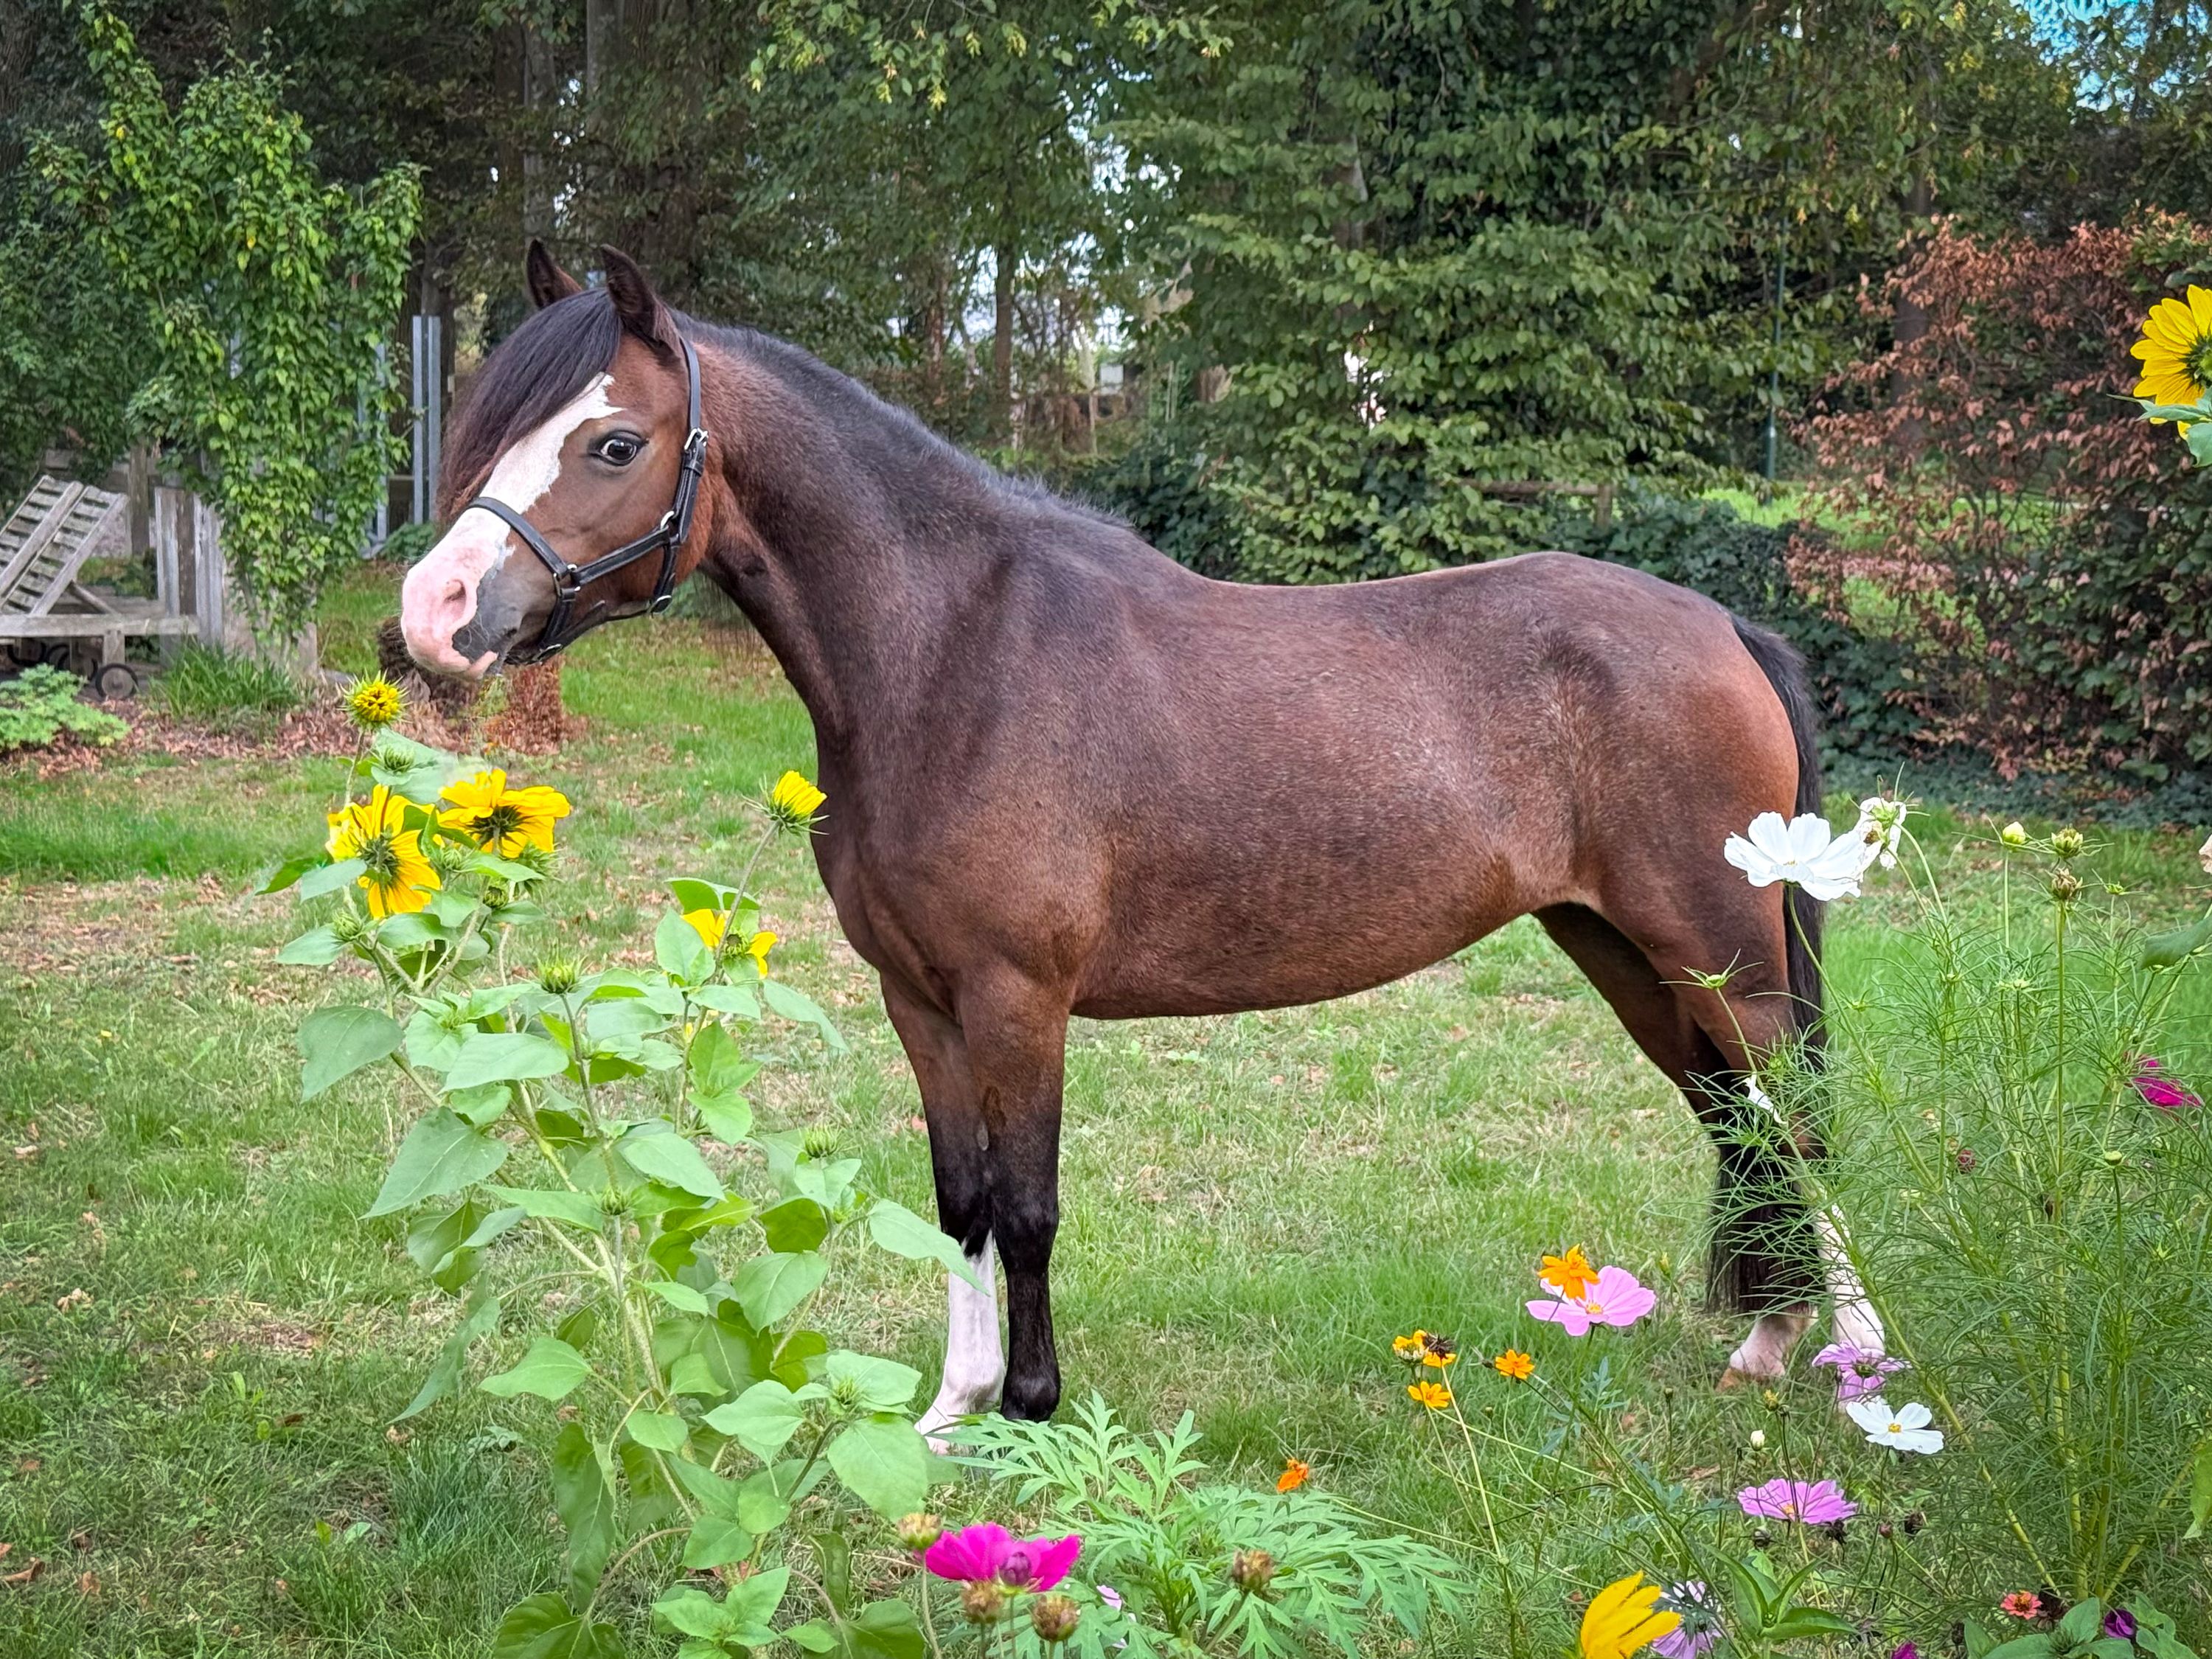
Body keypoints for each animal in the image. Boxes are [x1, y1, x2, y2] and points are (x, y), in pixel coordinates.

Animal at [400, 243, 1882, 1436]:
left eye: (611, 443)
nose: (433, 613)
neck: (952, 657)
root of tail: (1720, 625)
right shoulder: (917, 999)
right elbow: (958, 1199)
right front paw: (951, 1415)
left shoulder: (1018, 999)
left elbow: (1029, 1205)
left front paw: (1034, 1409)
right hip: (1629, 958)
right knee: (1742, 1127)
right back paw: (1768, 1343)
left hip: (1717, 956)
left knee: (1800, 1127)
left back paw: (1859, 1368)